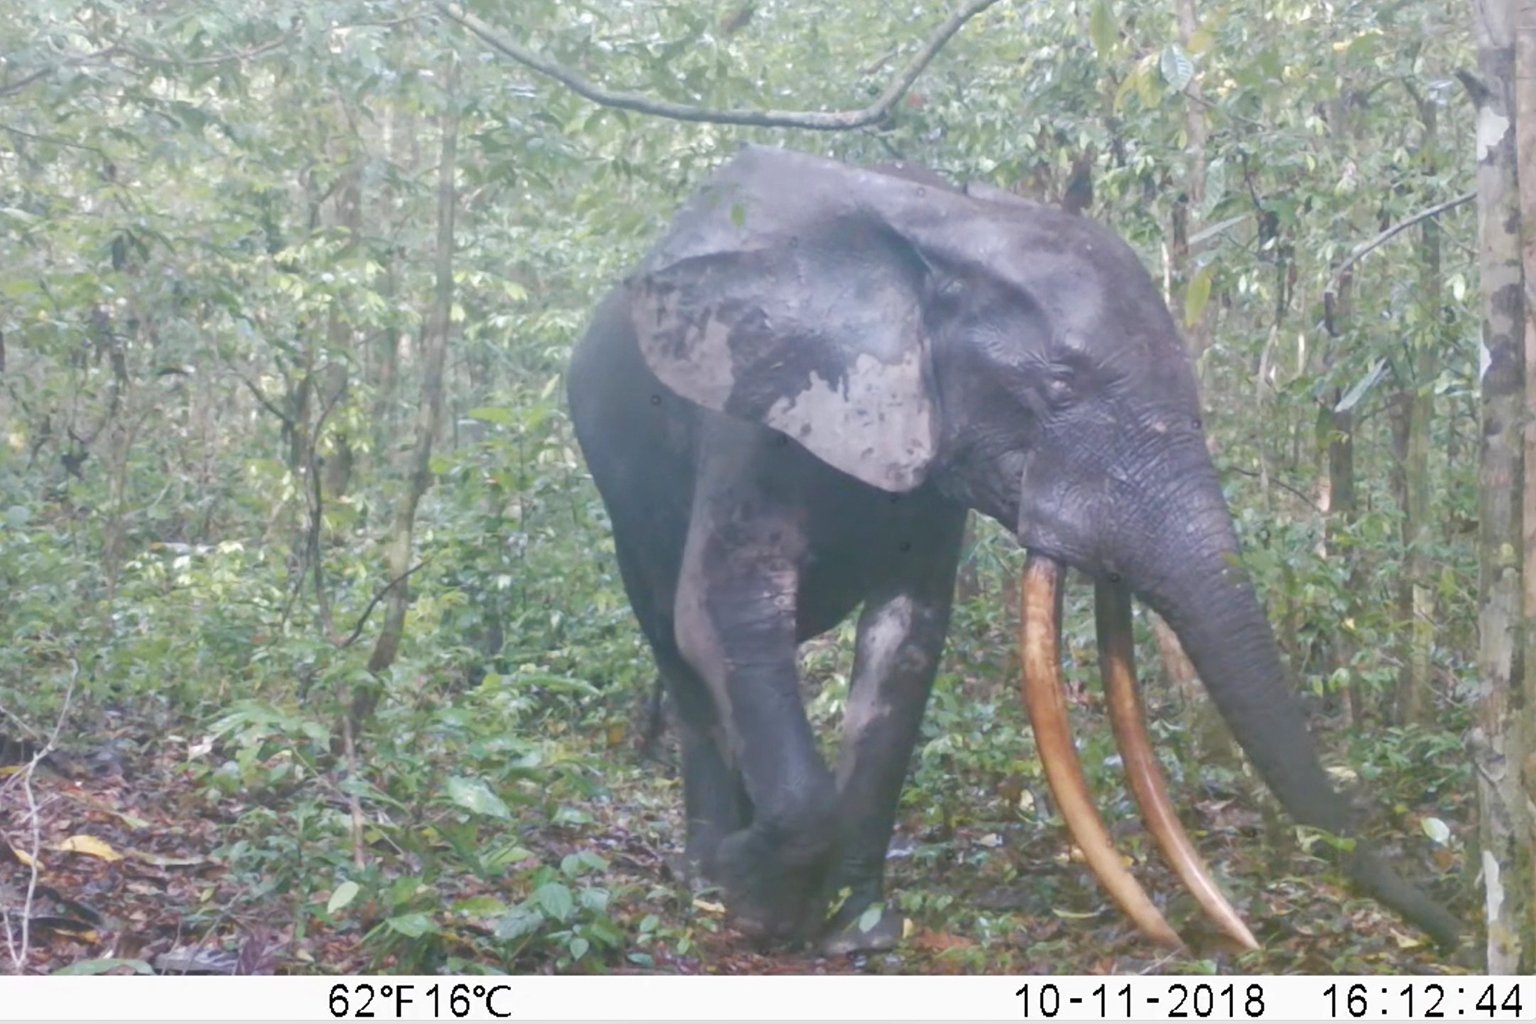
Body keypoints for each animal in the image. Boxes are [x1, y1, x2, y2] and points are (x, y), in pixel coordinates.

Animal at [568, 144, 1462, 951]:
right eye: (1059, 388)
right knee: (676, 648)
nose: (1455, 934)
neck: (952, 224)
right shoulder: (748, 405)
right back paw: (701, 871)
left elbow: (906, 642)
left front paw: (857, 935)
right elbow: (726, 616)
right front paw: (756, 905)